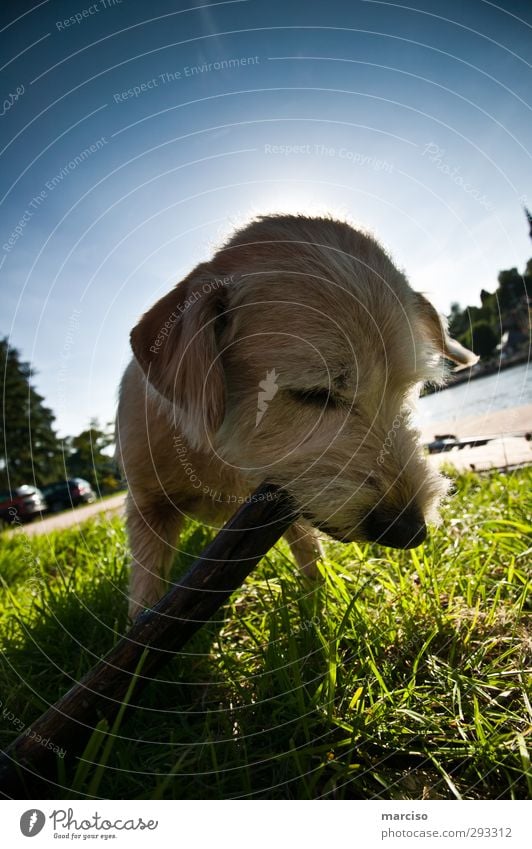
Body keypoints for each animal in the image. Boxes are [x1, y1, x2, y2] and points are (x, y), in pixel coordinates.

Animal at [117, 215, 478, 620]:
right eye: (313, 393)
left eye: (404, 392)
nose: (411, 531)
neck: (222, 453)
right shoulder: (147, 506)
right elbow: (146, 584)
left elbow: (308, 551)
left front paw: (321, 604)